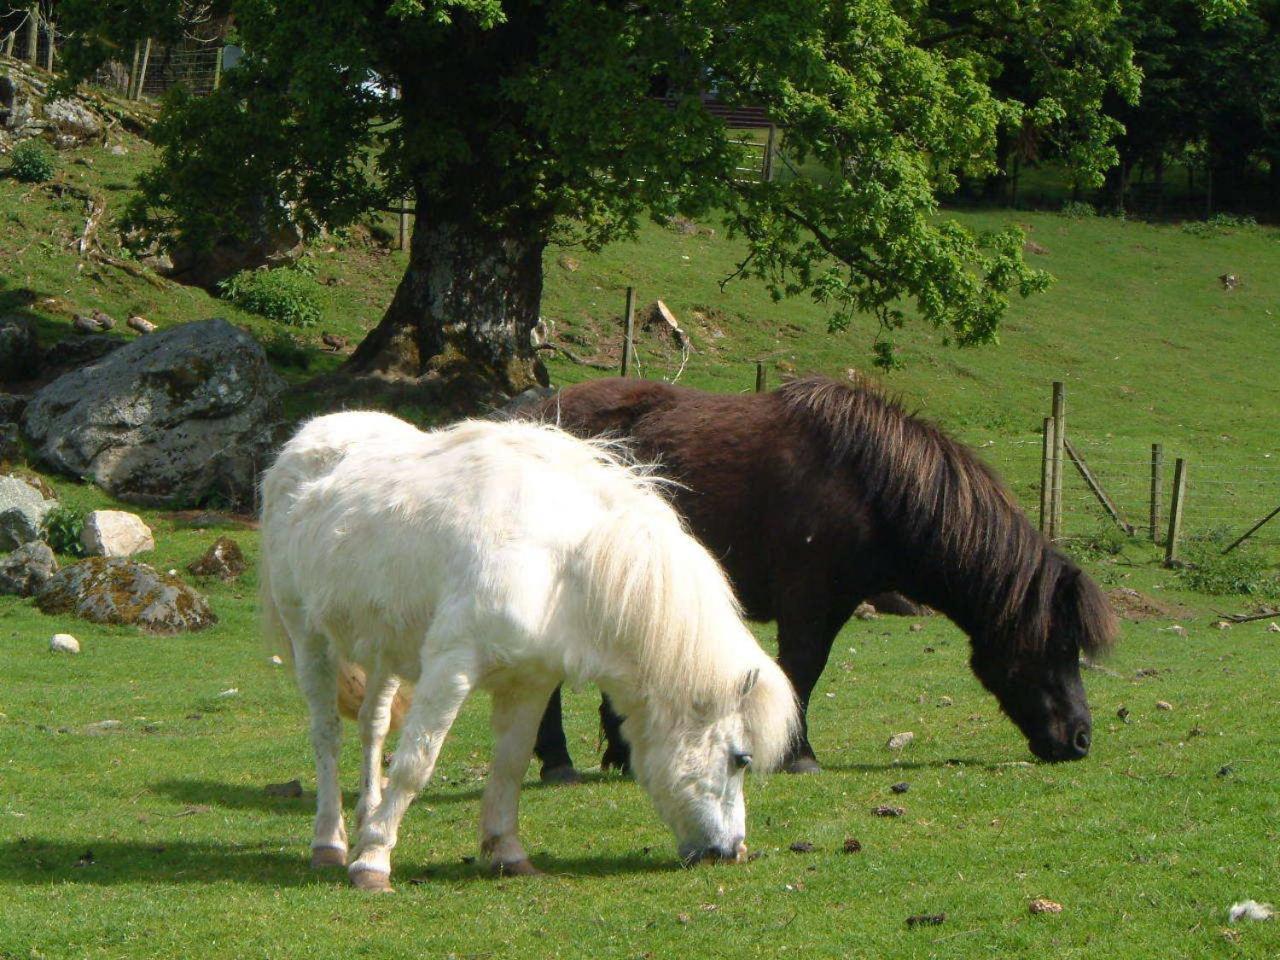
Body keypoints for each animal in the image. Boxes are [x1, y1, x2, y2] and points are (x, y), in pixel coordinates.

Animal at [259, 412, 793, 896]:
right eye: (741, 759)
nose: (730, 851)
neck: (560, 562)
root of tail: (304, 441)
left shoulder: (532, 681)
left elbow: (512, 764)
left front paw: (506, 852)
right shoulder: (451, 668)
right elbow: (415, 765)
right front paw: (373, 862)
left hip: (384, 650)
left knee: (372, 726)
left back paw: (367, 816)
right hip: (308, 636)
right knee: (326, 735)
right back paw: (331, 843)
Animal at [524, 371, 1116, 778]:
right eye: (1059, 645)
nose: (1081, 740)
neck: (869, 483)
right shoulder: (809, 603)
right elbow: (802, 671)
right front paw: (798, 755)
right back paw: (558, 763)